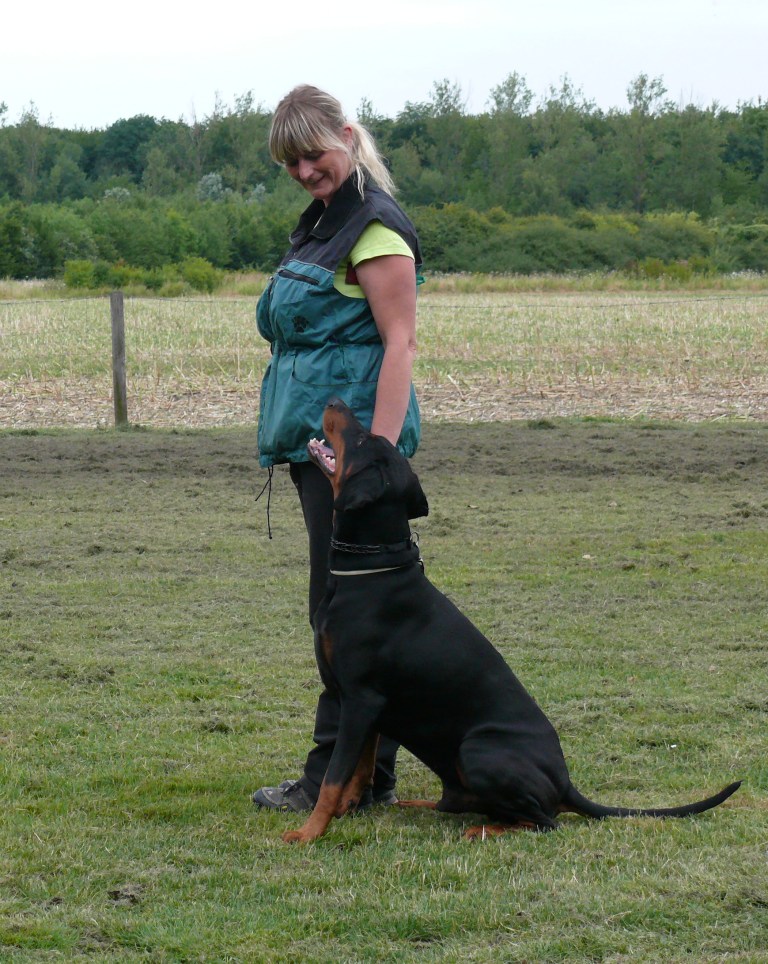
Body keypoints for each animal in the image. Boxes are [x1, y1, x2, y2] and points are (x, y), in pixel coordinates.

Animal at [280, 400, 736, 844]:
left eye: (361, 438)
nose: (335, 400)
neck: (372, 568)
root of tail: (565, 783)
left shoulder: (361, 699)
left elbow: (335, 775)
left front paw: (309, 832)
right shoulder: (370, 708)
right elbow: (360, 768)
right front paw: (345, 812)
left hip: (477, 750)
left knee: (544, 821)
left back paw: (484, 830)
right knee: (468, 804)